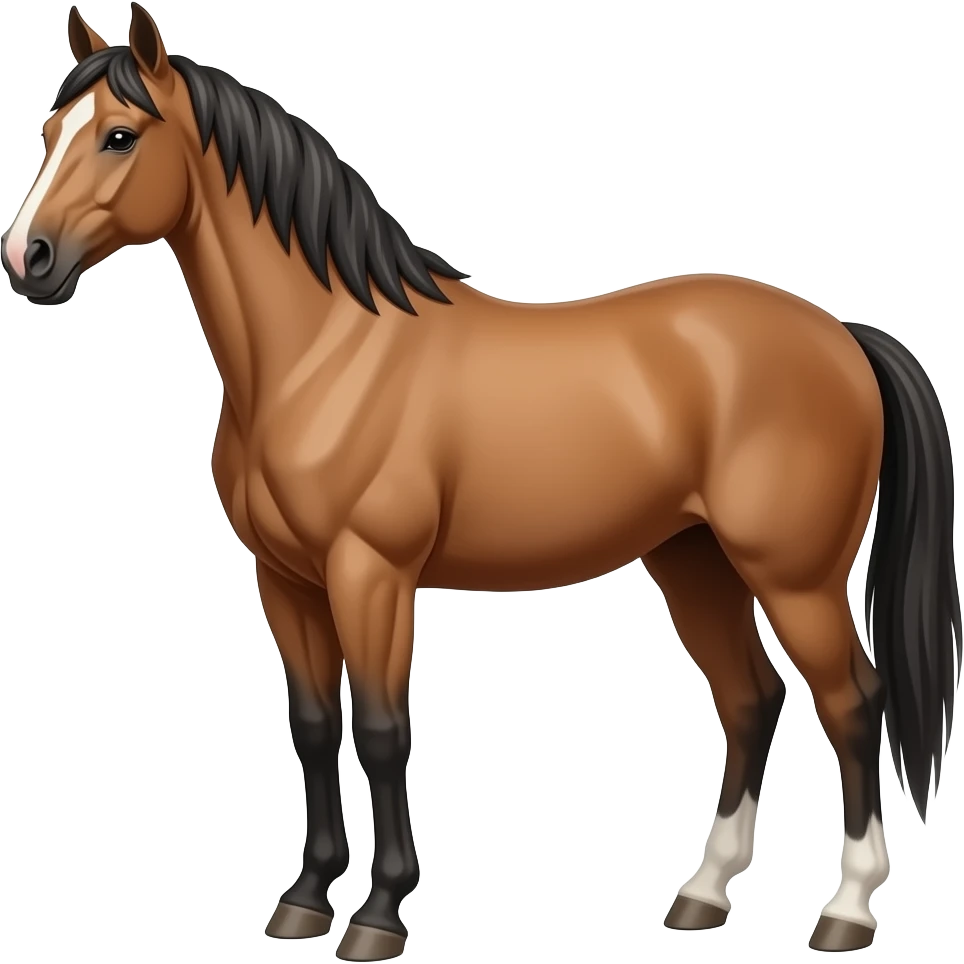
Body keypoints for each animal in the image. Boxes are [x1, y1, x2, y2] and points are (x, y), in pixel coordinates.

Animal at [2, 5, 959, 959]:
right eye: (49, 133)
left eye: (120, 136)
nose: (28, 259)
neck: (325, 354)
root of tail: (841, 337)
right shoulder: (285, 580)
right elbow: (312, 728)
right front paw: (305, 901)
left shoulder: (371, 575)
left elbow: (382, 730)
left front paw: (379, 916)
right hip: (695, 561)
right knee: (751, 699)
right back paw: (702, 894)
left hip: (794, 577)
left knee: (853, 703)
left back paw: (846, 910)